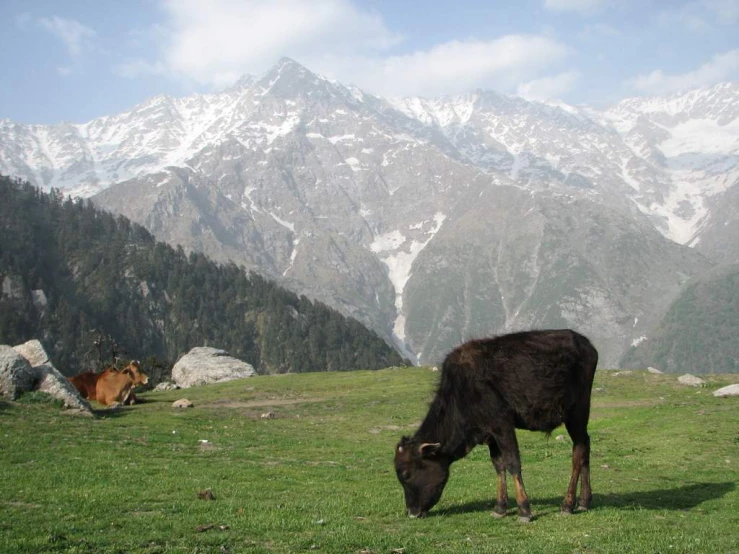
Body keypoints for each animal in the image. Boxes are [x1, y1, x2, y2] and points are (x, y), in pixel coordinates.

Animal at [396, 330, 600, 520]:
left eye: (406, 474)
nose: (412, 512)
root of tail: (585, 342)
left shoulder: (502, 423)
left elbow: (513, 463)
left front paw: (524, 510)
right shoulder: (490, 433)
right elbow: (498, 465)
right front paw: (500, 507)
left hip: (577, 411)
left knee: (578, 452)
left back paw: (567, 504)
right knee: (585, 446)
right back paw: (584, 501)